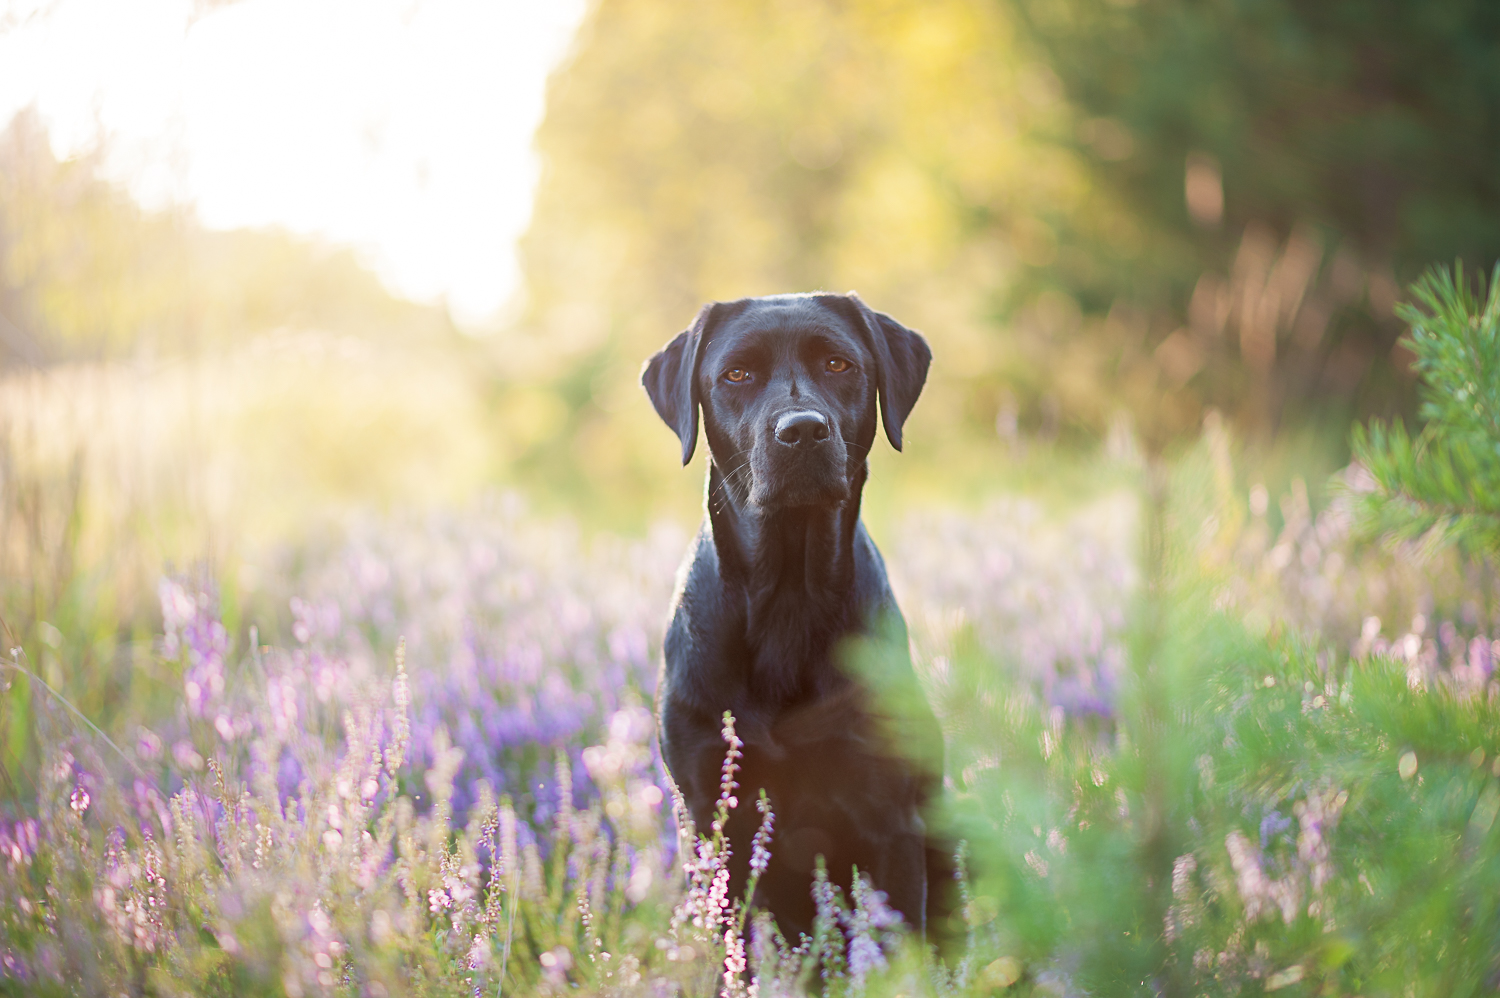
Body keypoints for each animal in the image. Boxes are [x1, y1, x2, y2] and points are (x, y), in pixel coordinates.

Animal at [642, 289, 948, 942]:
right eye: (737, 374)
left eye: (838, 364)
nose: (802, 429)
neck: (787, 597)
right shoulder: (712, 820)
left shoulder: (892, 821)